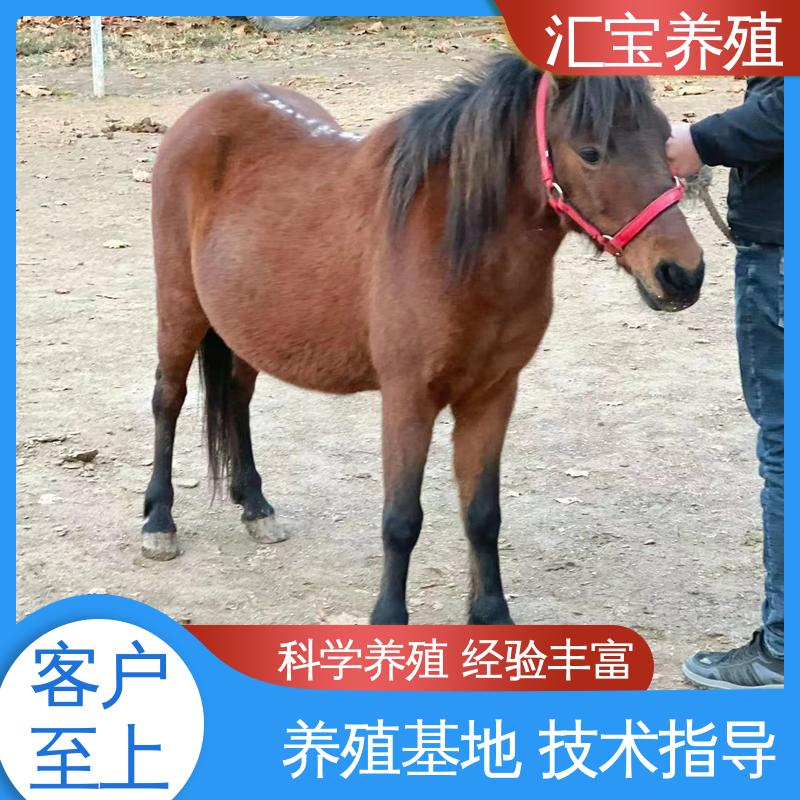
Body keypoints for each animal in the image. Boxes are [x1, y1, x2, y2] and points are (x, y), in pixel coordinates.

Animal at [142, 54, 704, 625]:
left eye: (665, 139)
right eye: (590, 152)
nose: (682, 274)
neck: (457, 247)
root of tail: (209, 111)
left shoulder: (492, 395)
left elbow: (482, 513)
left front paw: (491, 614)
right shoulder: (408, 398)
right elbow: (401, 518)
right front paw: (389, 616)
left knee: (236, 397)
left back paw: (255, 506)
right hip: (180, 306)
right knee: (169, 398)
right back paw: (159, 522)